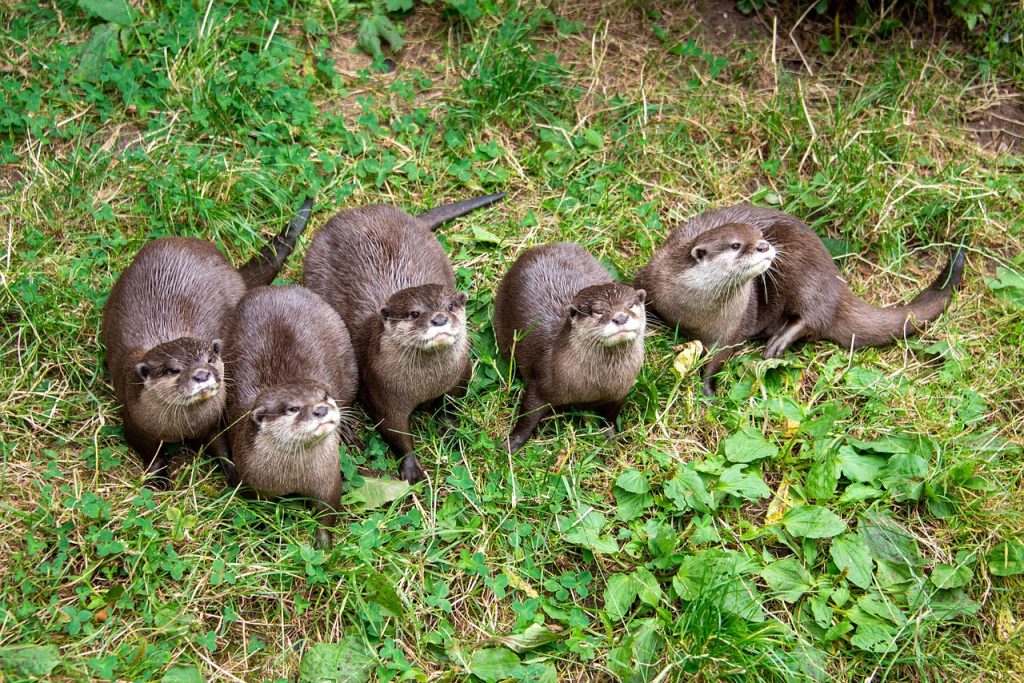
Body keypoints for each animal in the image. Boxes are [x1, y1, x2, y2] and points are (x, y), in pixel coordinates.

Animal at [101, 198, 312, 487]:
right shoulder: (134, 422)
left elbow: (221, 446)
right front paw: (159, 478)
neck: (182, 428)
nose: (202, 374)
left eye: (210, 359)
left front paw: (233, 474)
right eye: (173, 369)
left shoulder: (214, 421)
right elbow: (150, 452)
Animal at [222, 285, 358, 548]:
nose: (321, 409)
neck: (292, 477)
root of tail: (275, 288)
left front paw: (323, 545)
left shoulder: (328, 476)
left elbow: (329, 510)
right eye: (293, 408)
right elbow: (261, 512)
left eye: (325, 395)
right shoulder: (252, 482)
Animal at [303, 192, 504, 483]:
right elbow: (395, 431)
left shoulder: (460, 375)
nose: (439, 319)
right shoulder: (383, 390)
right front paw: (411, 468)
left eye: (451, 306)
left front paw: (449, 431)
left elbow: (451, 406)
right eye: (414, 313)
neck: (427, 385)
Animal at [493, 242, 647, 453]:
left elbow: (611, 417)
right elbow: (527, 416)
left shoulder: (620, 392)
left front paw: (611, 438)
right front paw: (510, 444)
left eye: (631, 305)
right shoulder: (541, 383)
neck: (596, 386)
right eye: (598, 311)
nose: (621, 317)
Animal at [635, 204, 966, 394]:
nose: (765, 246)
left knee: (812, 316)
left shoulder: (733, 326)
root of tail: (835, 281)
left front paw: (707, 390)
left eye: (759, 236)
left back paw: (777, 342)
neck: (694, 309)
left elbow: (718, 358)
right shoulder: (651, 274)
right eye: (736, 245)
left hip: (804, 269)